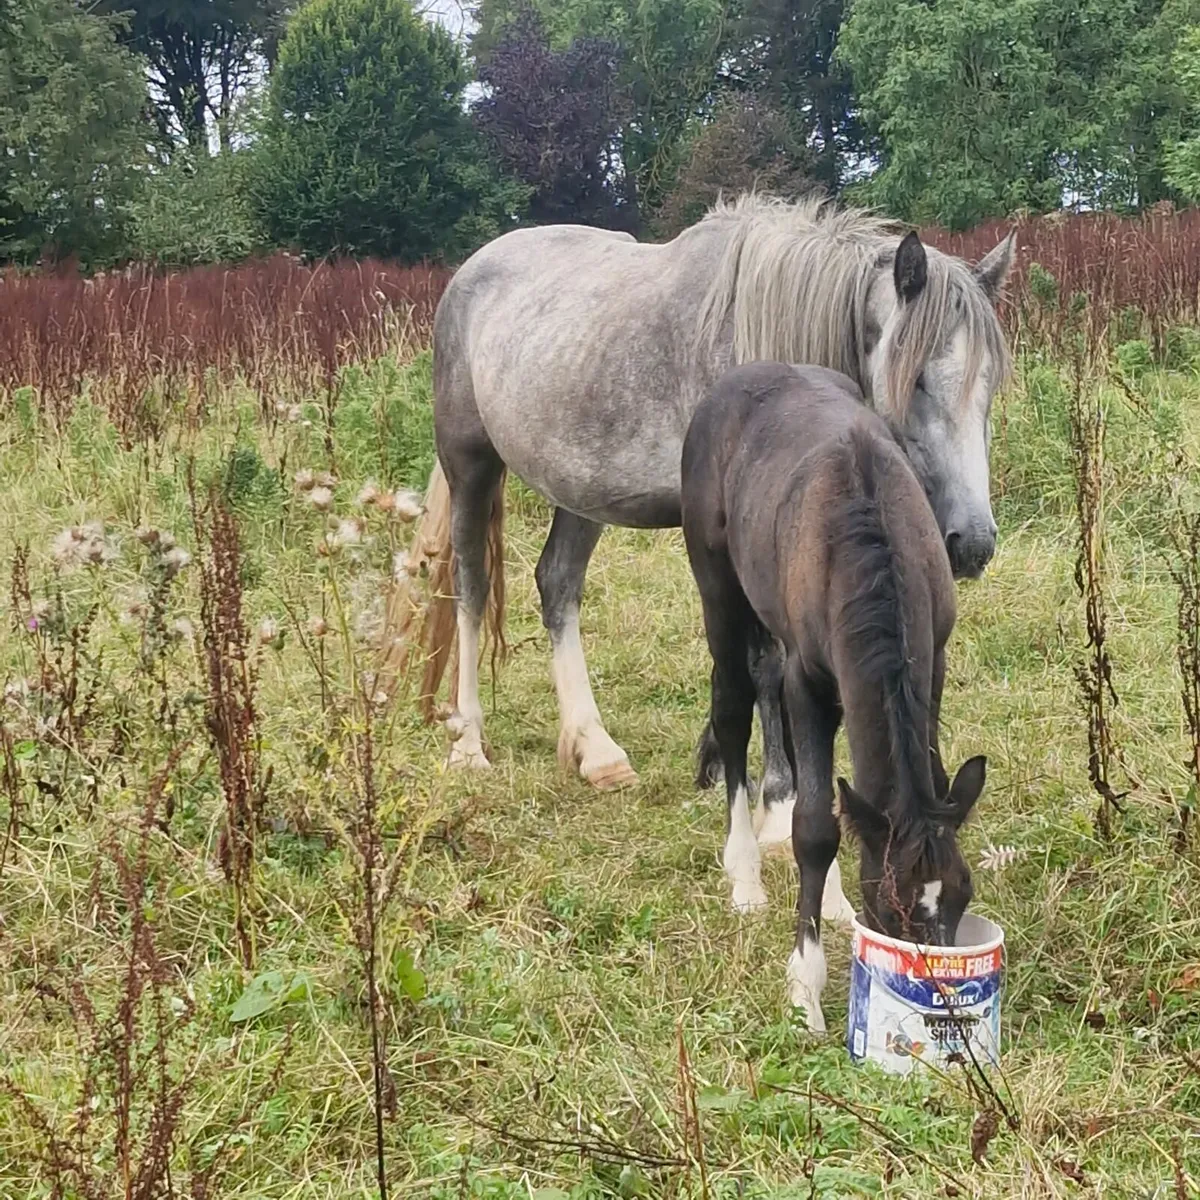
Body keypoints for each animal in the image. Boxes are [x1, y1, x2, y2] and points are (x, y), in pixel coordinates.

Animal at [387, 194, 1011, 845]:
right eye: (917, 378)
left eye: (990, 382)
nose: (972, 543)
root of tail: (470, 272)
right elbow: (767, 661)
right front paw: (778, 803)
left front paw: (718, 761)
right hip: (471, 464)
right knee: (470, 586)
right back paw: (469, 742)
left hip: (581, 489)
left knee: (557, 584)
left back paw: (596, 749)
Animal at [680, 361, 988, 1033]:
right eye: (892, 906)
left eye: (963, 892)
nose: (938, 987)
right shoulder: (809, 680)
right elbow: (815, 826)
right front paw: (806, 986)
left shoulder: (931, 663)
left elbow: (918, 777)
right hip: (717, 585)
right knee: (733, 706)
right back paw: (744, 876)